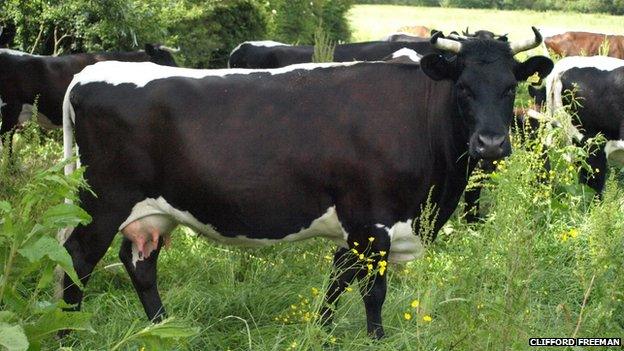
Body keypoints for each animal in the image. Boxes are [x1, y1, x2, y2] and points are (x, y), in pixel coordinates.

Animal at [62, 29, 552, 338]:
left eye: (510, 86)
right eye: (463, 86)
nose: (491, 143)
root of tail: (87, 75)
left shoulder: (358, 228)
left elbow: (337, 282)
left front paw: (321, 330)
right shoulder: (373, 221)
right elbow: (372, 292)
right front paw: (376, 339)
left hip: (153, 212)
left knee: (140, 264)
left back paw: (165, 327)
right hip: (102, 201)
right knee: (77, 258)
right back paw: (68, 332)